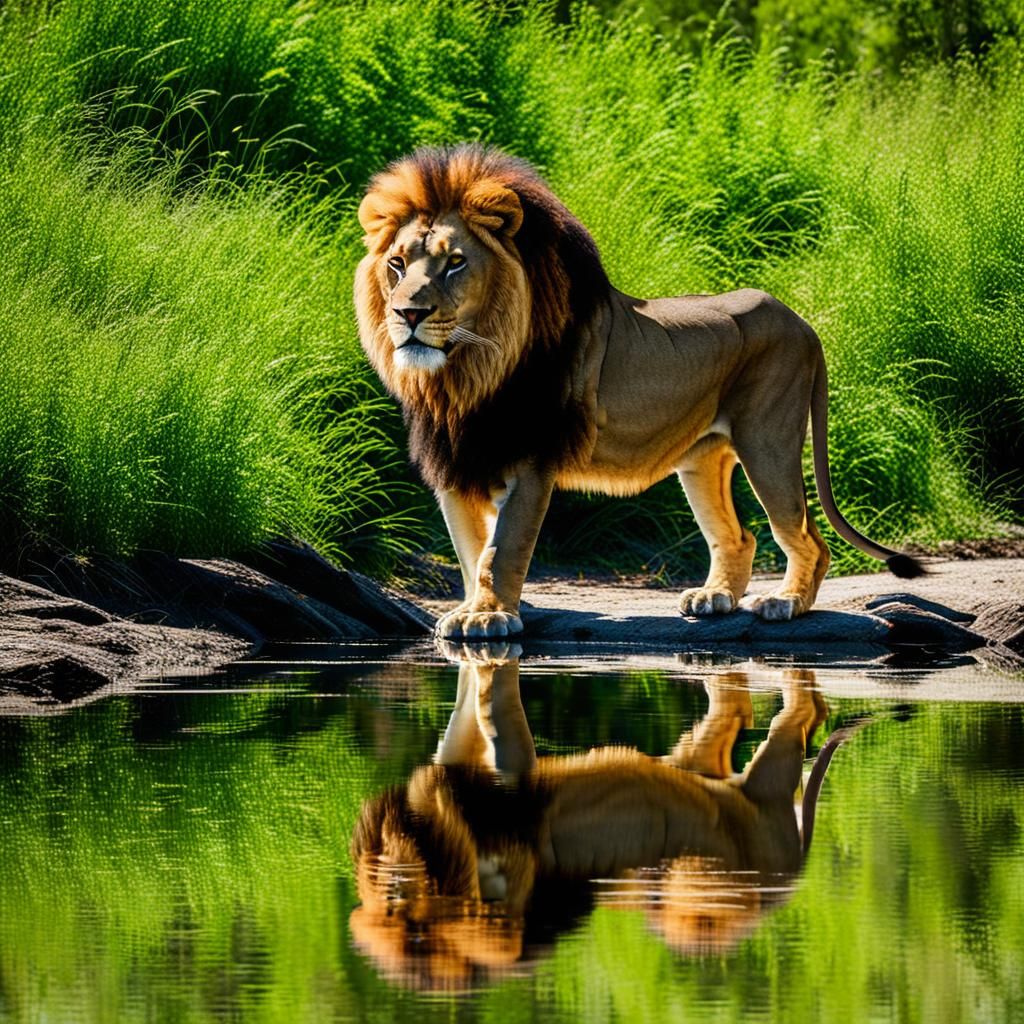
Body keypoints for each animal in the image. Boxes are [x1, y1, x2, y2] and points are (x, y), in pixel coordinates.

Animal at [355, 144, 923, 639]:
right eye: (397, 264)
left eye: (455, 262)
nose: (408, 314)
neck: (462, 375)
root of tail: (802, 322)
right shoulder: (456, 463)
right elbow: (472, 552)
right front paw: (477, 608)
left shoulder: (532, 461)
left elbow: (504, 548)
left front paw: (489, 617)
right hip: (702, 459)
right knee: (738, 536)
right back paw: (713, 599)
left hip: (769, 441)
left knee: (806, 537)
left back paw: (785, 603)